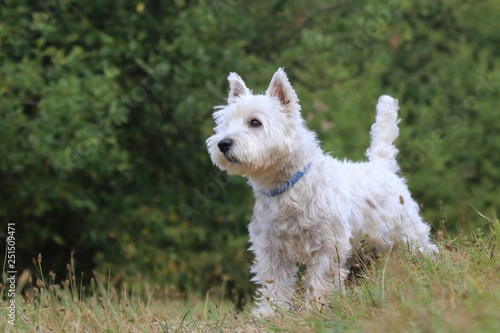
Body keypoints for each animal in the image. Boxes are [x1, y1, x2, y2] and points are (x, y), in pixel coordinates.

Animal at [207, 68, 438, 316]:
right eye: (226, 124)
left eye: (255, 122)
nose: (223, 144)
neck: (288, 187)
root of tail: (382, 166)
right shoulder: (270, 246)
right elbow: (274, 282)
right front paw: (271, 313)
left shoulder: (329, 244)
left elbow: (321, 280)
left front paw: (317, 308)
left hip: (407, 232)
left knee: (426, 248)